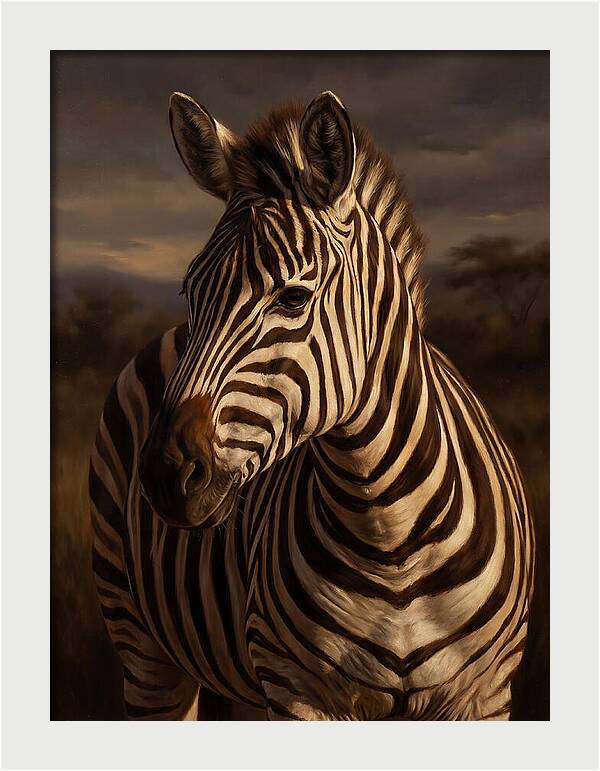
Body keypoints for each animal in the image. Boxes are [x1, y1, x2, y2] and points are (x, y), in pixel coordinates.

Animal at [89, 90, 535, 721]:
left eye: (295, 297)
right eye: (189, 291)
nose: (165, 474)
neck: (389, 535)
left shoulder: (485, 693)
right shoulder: (299, 688)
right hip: (143, 644)